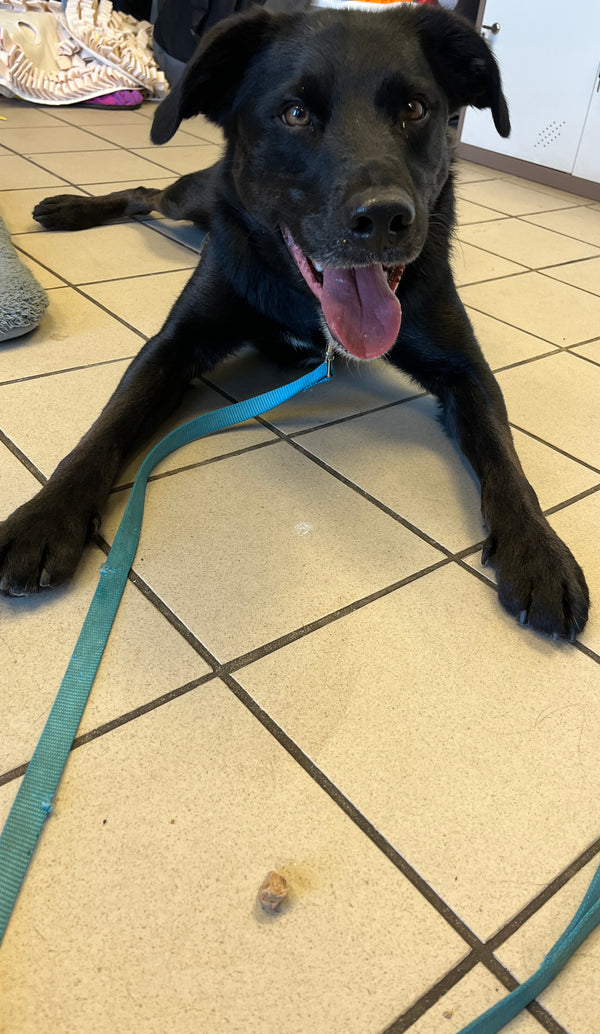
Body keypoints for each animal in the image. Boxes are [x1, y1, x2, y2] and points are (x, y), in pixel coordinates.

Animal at [0, 6, 587, 636]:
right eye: (295, 114)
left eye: (414, 109)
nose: (384, 218)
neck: (305, 302)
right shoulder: (173, 345)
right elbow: (106, 430)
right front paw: (46, 515)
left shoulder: (465, 370)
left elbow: (505, 458)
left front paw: (539, 548)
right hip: (195, 199)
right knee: (145, 193)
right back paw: (69, 208)